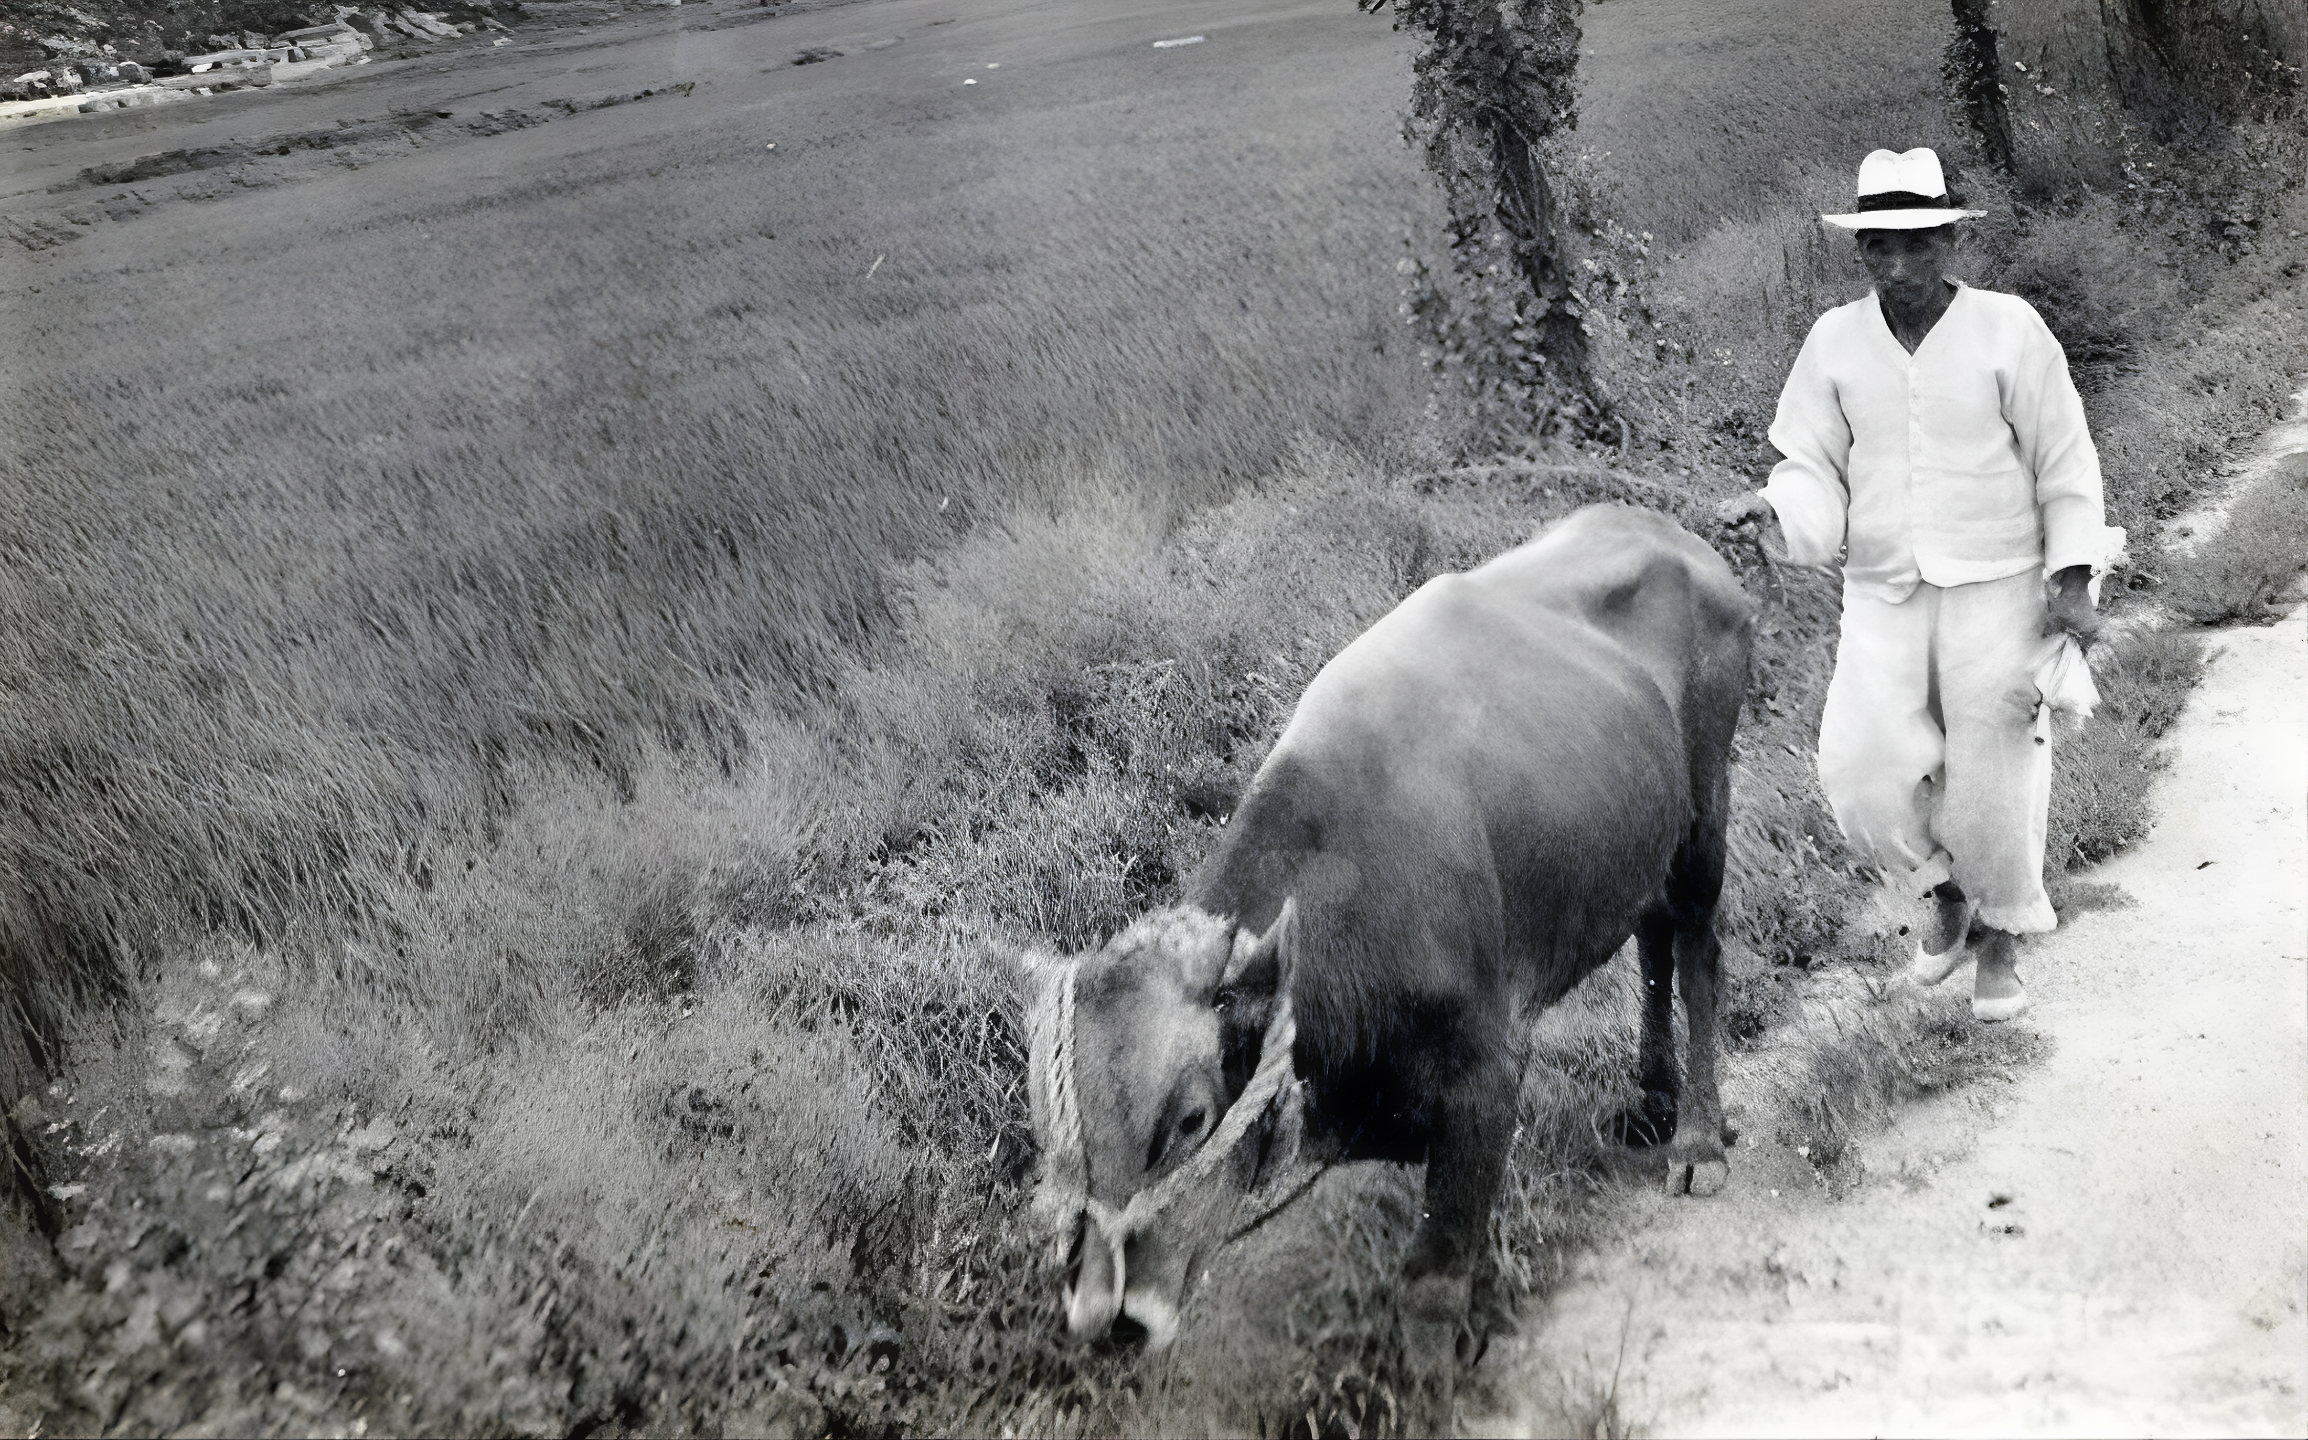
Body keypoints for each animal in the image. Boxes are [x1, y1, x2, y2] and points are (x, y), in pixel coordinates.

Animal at [1023, 503, 1755, 1374]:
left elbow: (1431, 1288)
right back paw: (1652, 1098)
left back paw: (1698, 1140)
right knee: (1652, 938)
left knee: (1698, 955)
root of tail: (1665, 531)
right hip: (1646, 835)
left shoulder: (1486, 1076)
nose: (1111, 1321)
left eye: (1192, 1121)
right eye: (1063, 1146)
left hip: (1705, 814)